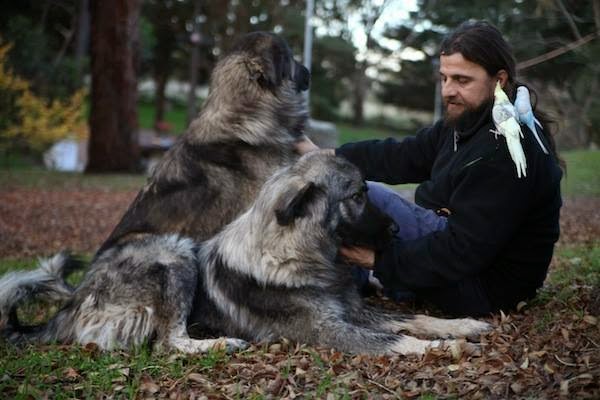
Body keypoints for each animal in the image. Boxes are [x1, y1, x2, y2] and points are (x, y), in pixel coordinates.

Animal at [0, 152, 492, 354]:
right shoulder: (329, 330)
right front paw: (446, 350)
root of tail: (72, 303)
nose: (395, 229)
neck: (296, 254)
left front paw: (462, 326)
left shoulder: (351, 311)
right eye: (357, 195)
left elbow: (416, 318)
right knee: (169, 341)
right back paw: (221, 343)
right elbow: (396, 338)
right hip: (174, 256)